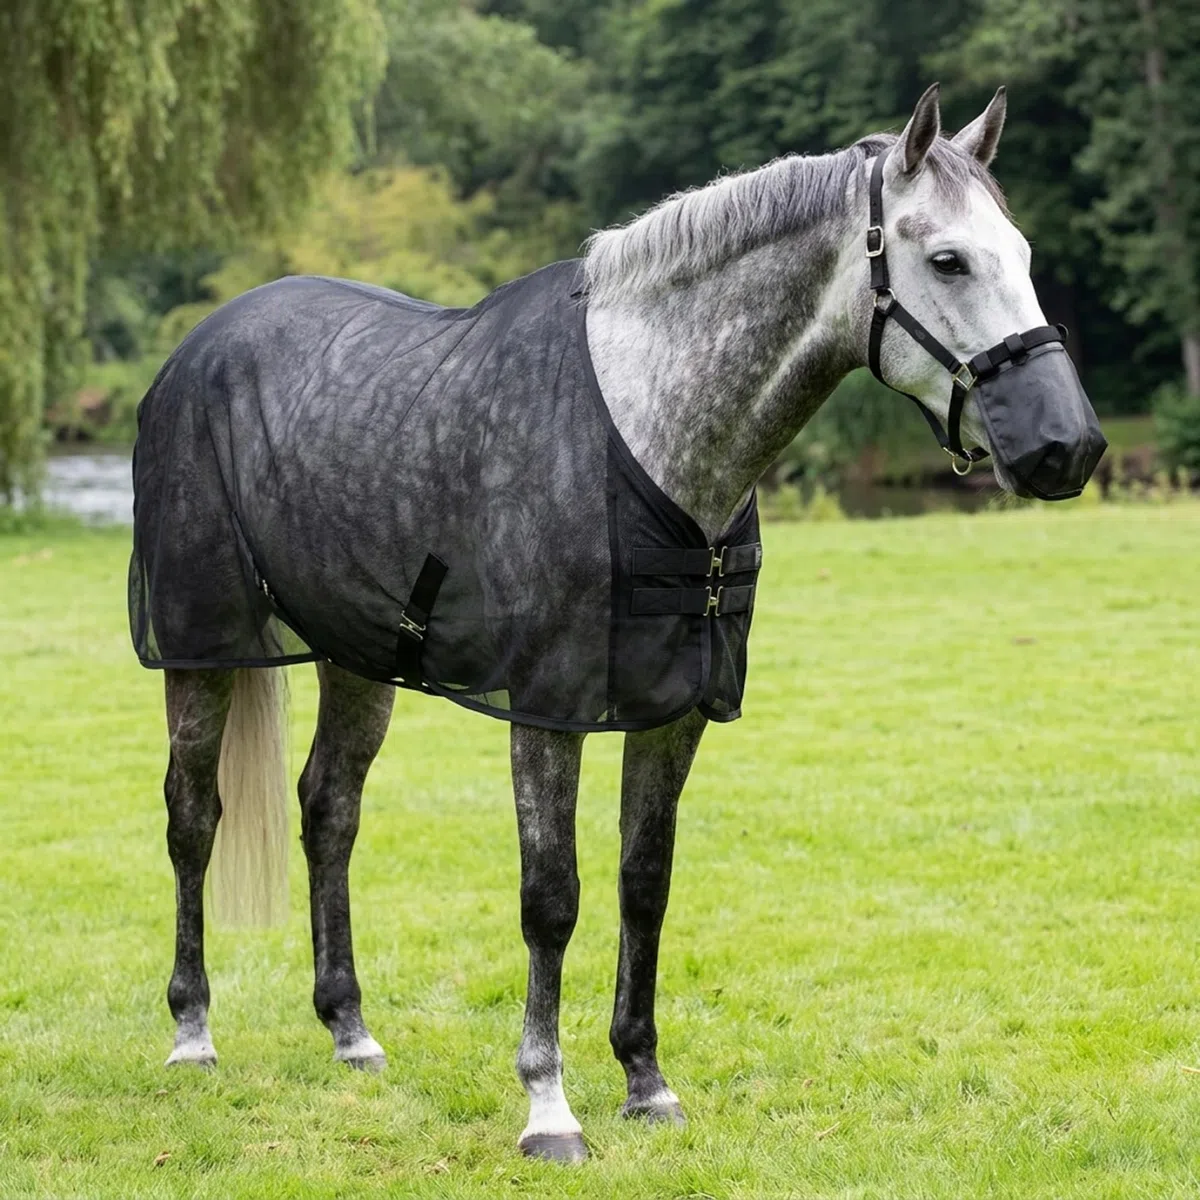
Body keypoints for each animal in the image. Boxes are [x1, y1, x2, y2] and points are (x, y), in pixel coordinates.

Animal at [130, 84, 1105, 1162]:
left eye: (1021, 253)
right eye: (948, 261)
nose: (1068, 446)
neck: (648, 432)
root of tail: (198, 347)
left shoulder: (674, 709)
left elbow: (646, 882)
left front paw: (646, 1081)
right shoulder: (549, 711)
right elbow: (551, 899)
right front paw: (548, 1106)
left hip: (357, 657)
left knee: (328, 810)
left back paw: (350, 1028)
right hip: (200, 648)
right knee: (192, 815)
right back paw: (191, 1032)